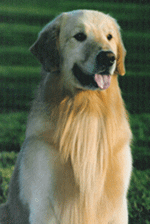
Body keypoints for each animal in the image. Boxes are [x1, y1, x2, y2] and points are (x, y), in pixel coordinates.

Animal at [0, 9, 132, 223]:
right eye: (79, 36)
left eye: (109, 37)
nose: (108, 57)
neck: (87, 108)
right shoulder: (44, 204)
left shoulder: (118, 205)